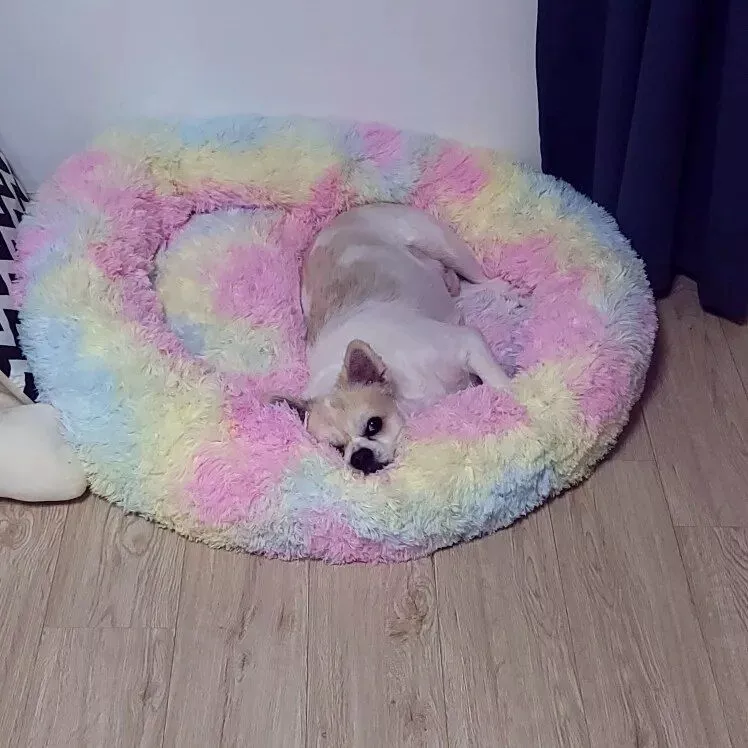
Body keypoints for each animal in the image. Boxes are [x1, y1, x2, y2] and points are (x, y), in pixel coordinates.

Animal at [273, 204, 512, 474]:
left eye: (373, 425)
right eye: (337, 448)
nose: (359, 457)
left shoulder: (465, 343)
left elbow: (499, 383)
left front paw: (513, 395)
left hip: (444, 246)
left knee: (480, 278)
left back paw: (503, 289)